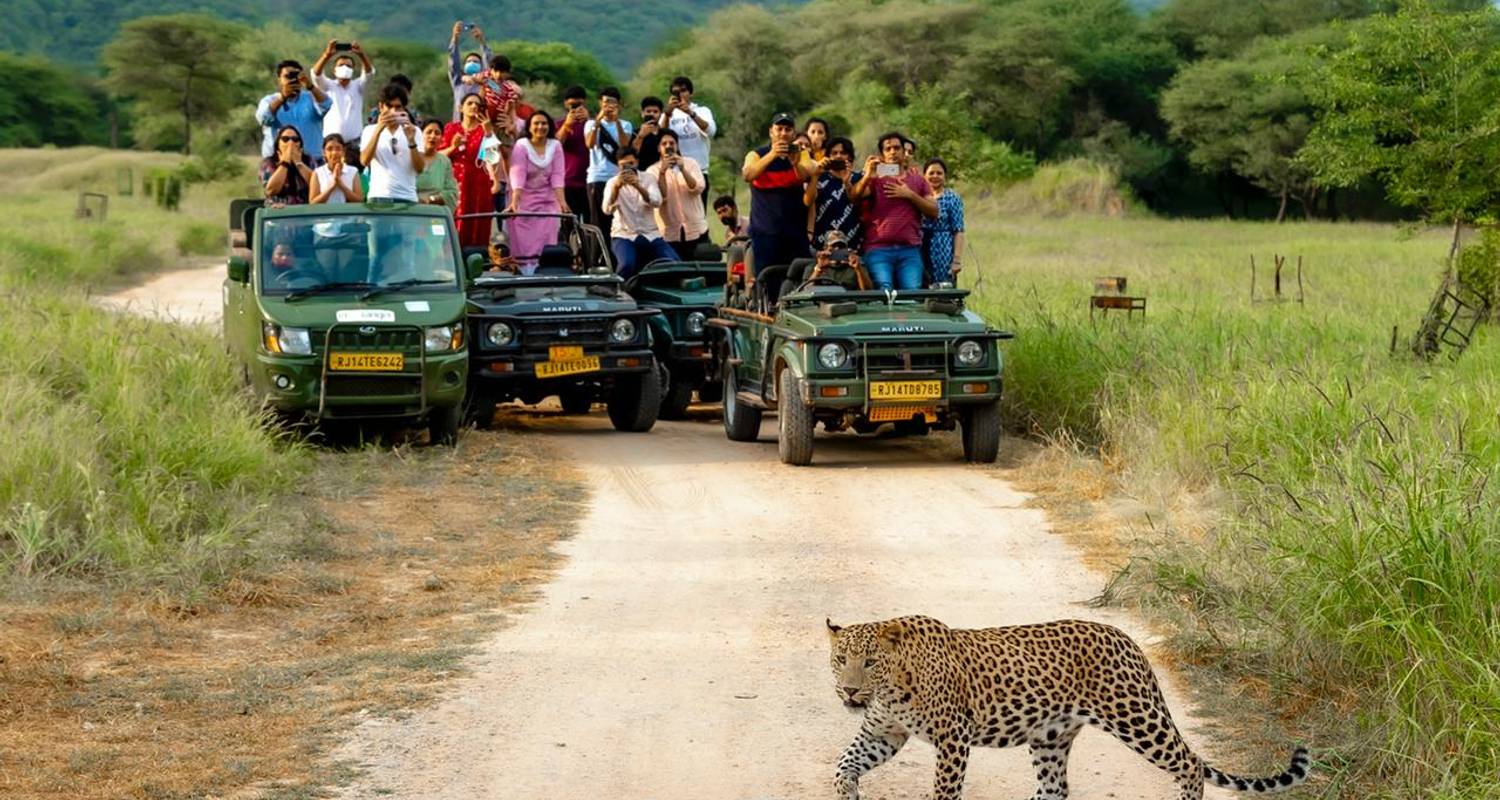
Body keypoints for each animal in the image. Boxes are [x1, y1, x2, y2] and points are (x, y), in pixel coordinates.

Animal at [828, 615, 1308, 792]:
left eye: (869, 662)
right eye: (839, 660)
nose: (850, 692)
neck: (893, 687)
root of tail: (1128, 639)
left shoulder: (953, 738)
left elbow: (944, 789)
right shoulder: (883, 734)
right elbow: (844, 765)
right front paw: (848, 792)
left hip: (1137, 718)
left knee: (1189, 764)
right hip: (1051, 739)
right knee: (1055, 788)